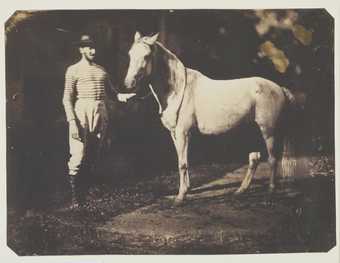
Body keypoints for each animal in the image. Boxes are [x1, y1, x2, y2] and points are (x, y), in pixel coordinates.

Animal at [123, 31, 296, 204]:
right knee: (254, 159)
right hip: (252, 130)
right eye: (130, 54)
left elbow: (182, 164)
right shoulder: (175, 134)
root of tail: (279, 88)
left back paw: (270, 192)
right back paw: (240, 191)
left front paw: (180, 197)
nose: (128, 84)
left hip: (268, 132)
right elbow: (183, 161)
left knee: (272, 159)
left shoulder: (183, 133)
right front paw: (187, 189)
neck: (177, 90)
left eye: (146, 56)